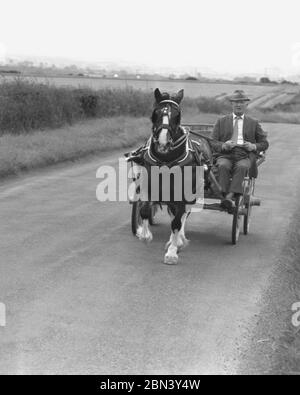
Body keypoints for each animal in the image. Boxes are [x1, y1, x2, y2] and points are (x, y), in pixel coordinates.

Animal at [130, 88, 212, 264]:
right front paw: (144, 235)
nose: (163, 142)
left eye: (177, 115)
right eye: (155, 113)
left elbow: (176, 222)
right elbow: (144, 211)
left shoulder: (184, 195)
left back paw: (178, 241)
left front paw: (172, 252)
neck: (166, 160)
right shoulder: (148, 188)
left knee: (183, 216)